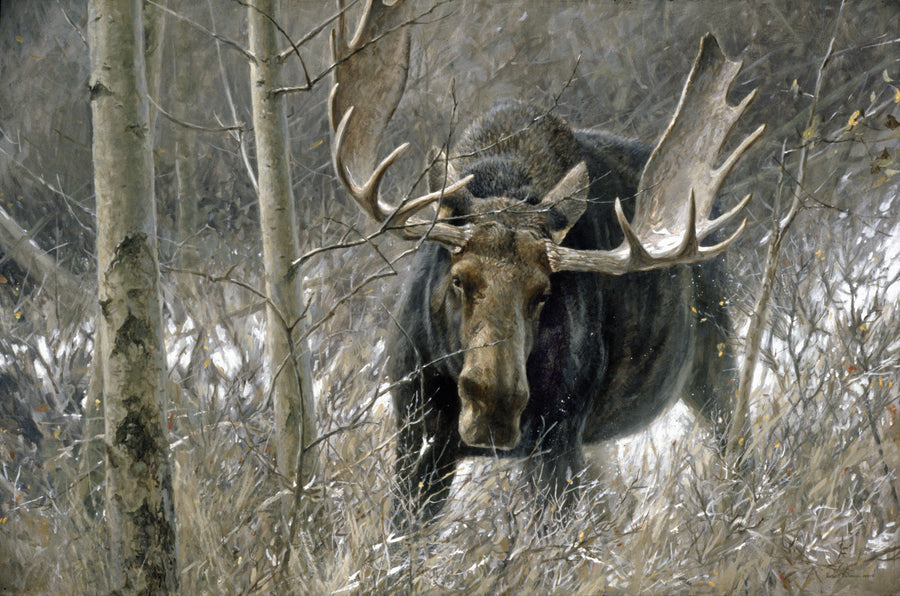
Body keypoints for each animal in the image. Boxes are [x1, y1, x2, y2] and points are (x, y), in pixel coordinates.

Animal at [328, 0, 764, 525]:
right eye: (458, 280)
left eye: (544, 293)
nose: (495, 408)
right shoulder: (417, 436)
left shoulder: (557, 439)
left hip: (714, 360)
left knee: (737, 445)